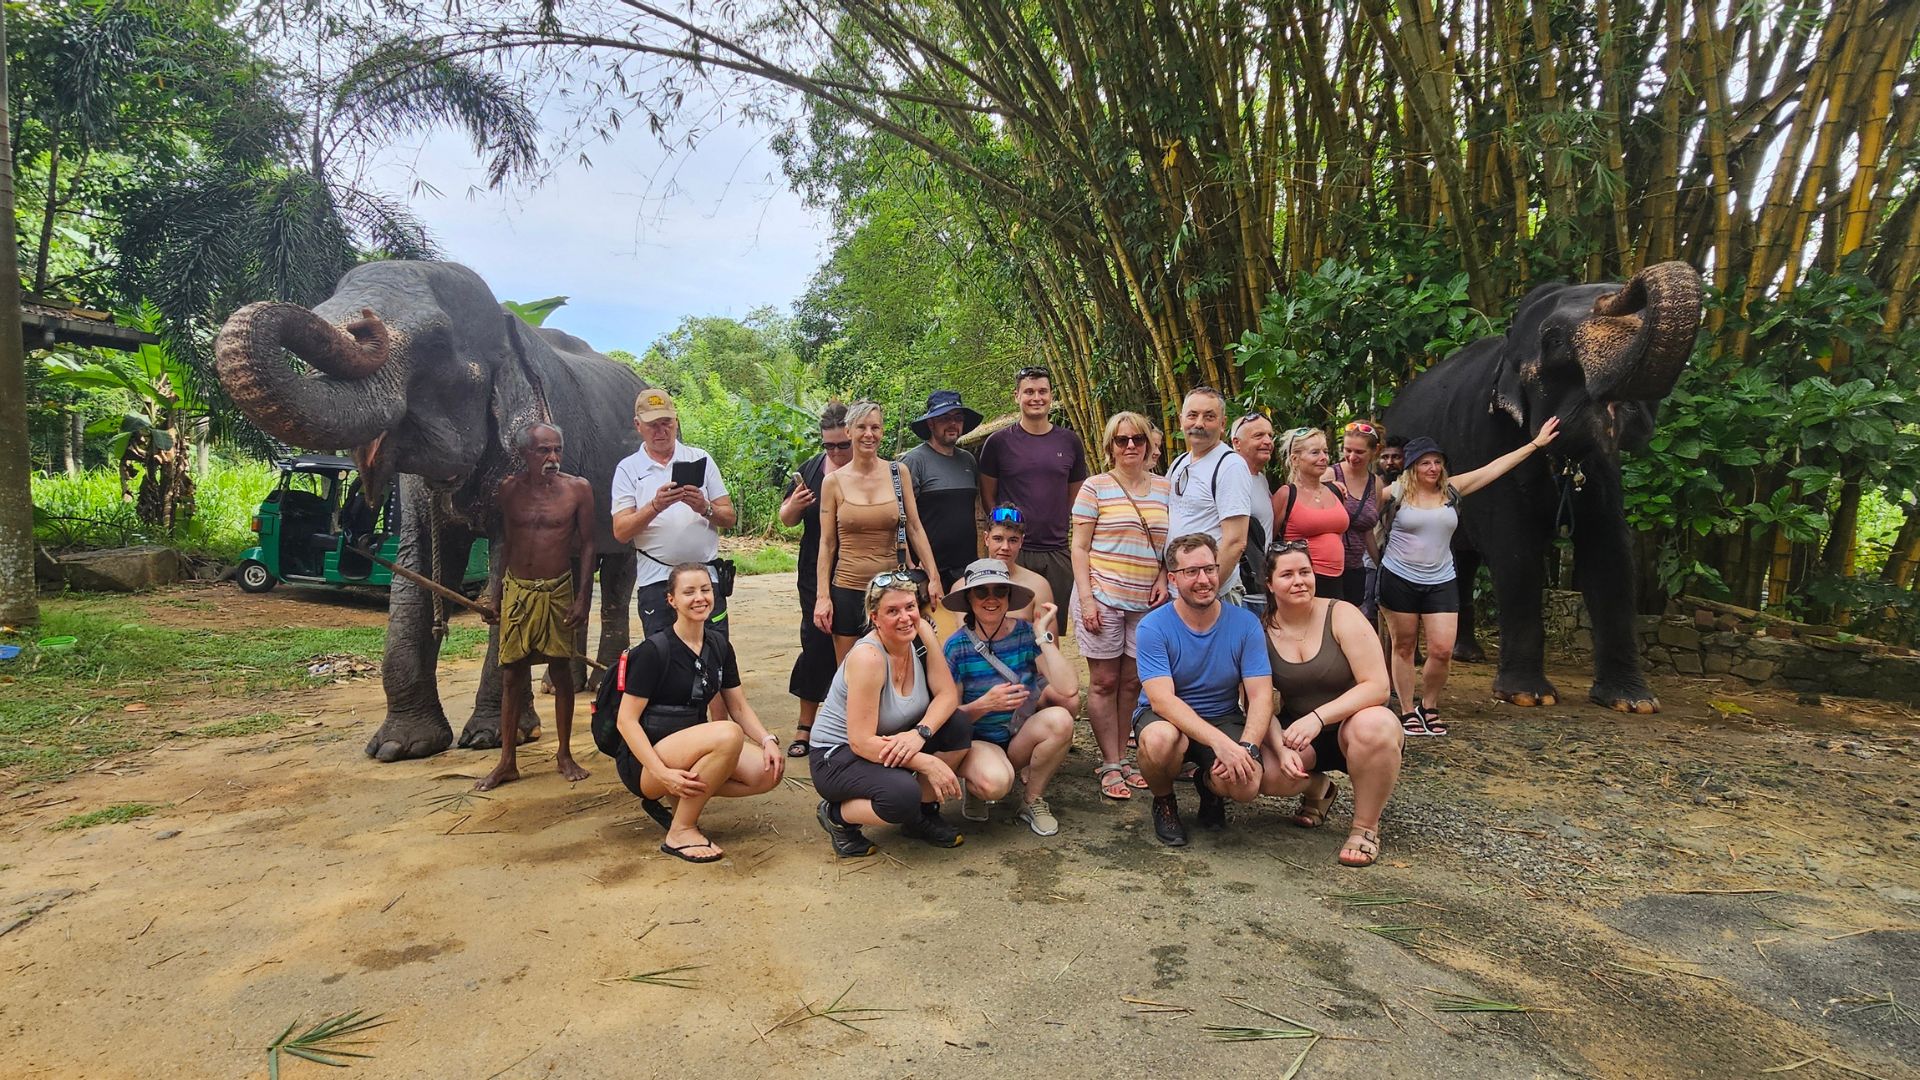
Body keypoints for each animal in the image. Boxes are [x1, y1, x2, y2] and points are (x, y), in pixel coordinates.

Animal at [215, 260, 646, 760]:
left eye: (437, 343)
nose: (364, 323)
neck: (508, 326)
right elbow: (416, 568)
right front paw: (400, 747)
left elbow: (510, 570)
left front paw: (493, 736)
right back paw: (560, 686)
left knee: (616, 575)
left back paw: (599, 683)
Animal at [1382, 260, 1703, 713]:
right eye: (1553, 340)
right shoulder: (1485, 436)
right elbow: (1515, 551)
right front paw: (1527, 696)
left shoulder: (1604, 470)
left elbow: (1613, 554)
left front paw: (1634, 702)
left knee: (1462, 560)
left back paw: (1467, 653)